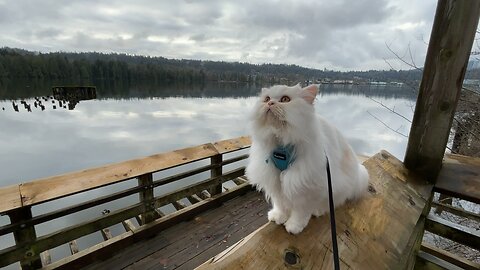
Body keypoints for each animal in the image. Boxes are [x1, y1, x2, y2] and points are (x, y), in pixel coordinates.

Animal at [246, 84, 370, 234]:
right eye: (267, 98)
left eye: (285, 99)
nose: (270, 103)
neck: (280, 144)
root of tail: (358, 173)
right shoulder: (274, 180)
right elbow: (280, 203)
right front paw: (278, 217)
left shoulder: (306, 186)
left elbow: (300, 212)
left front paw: (293, 227)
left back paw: (318, 211)